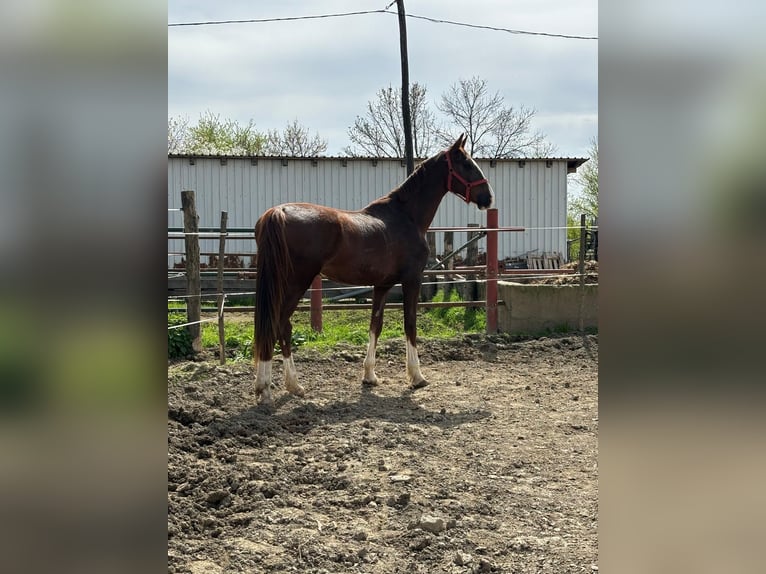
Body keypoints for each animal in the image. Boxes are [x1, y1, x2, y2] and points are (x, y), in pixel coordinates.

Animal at [255, 134, 496, 404]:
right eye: (466, 163)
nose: (488, 198)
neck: (406, 216)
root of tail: (279, 212)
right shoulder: (412, 280)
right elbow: (410, 325)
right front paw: (417, 377)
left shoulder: (382, 285)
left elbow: (375, 326)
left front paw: (370, 376)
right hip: (296, 283)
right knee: (279, 325)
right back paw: (278, 387)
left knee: (272, 327)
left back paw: (276, 386)